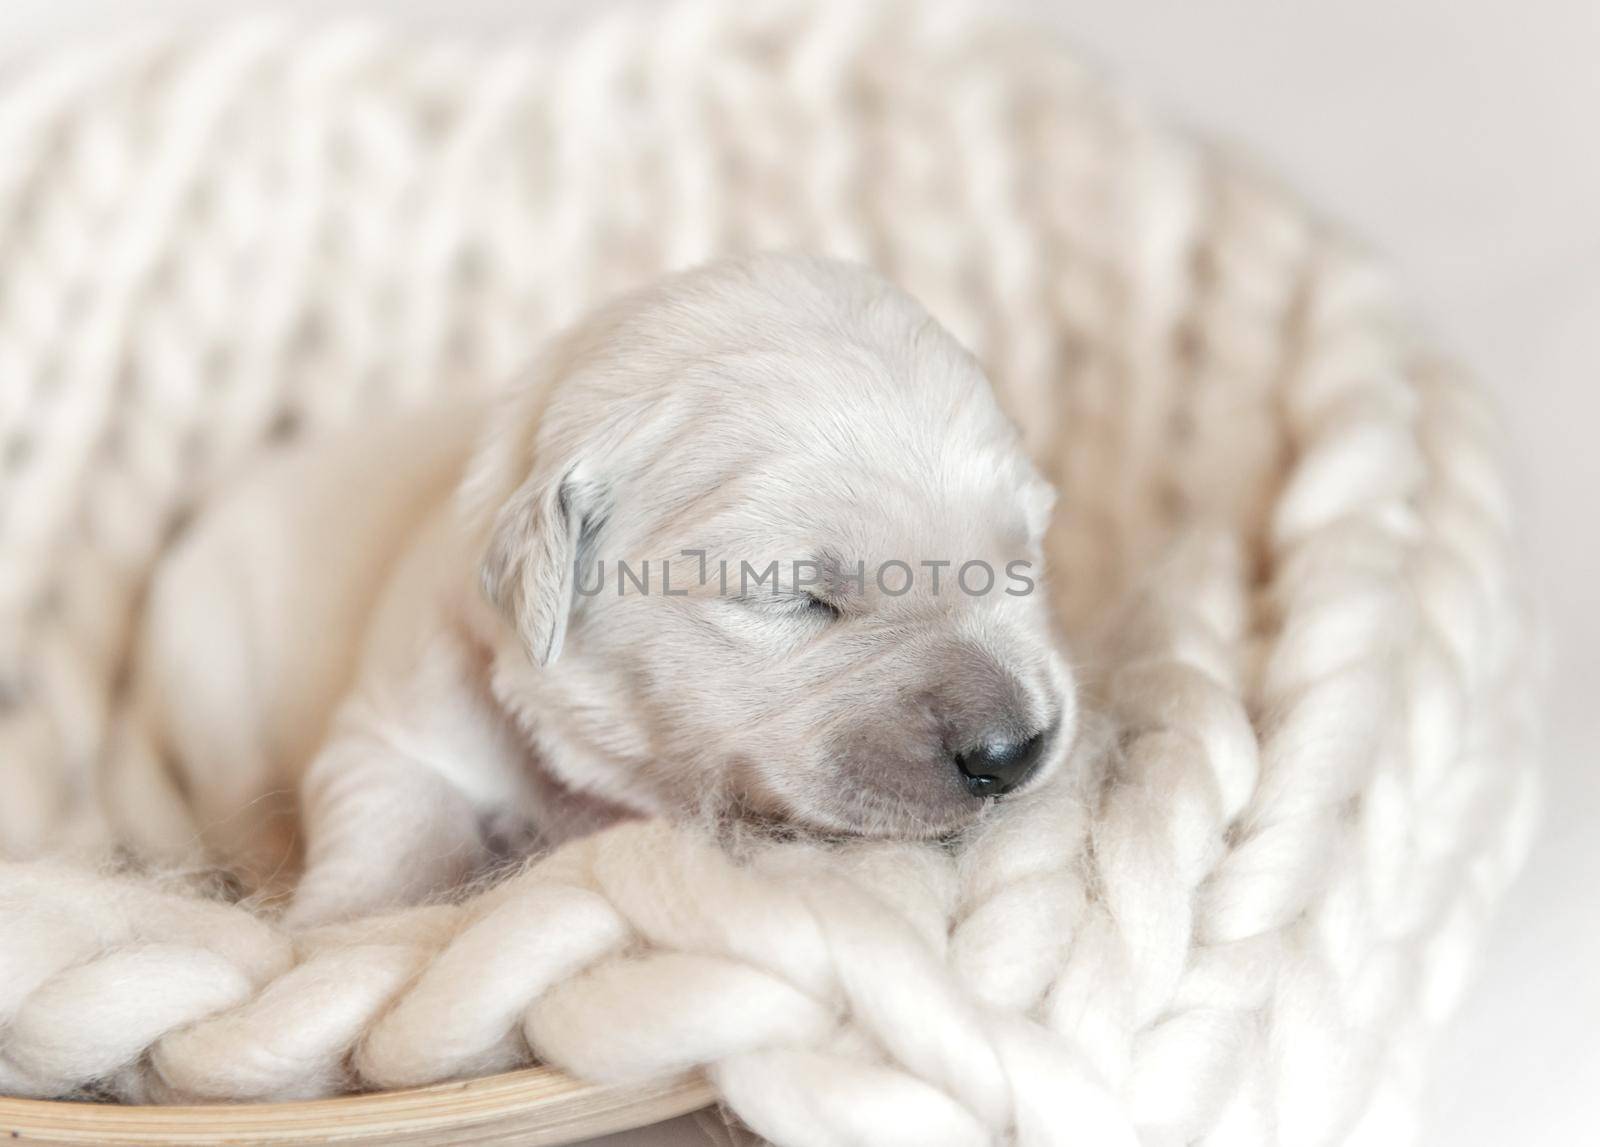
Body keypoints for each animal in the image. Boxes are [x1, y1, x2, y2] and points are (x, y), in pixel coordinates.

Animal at [118, 254, 1081, 927]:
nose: (1011, 751)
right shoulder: (404, 713)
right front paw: (347, 920)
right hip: (213, 689)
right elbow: (392, 815)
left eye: (1018, 558)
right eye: (793, 596)